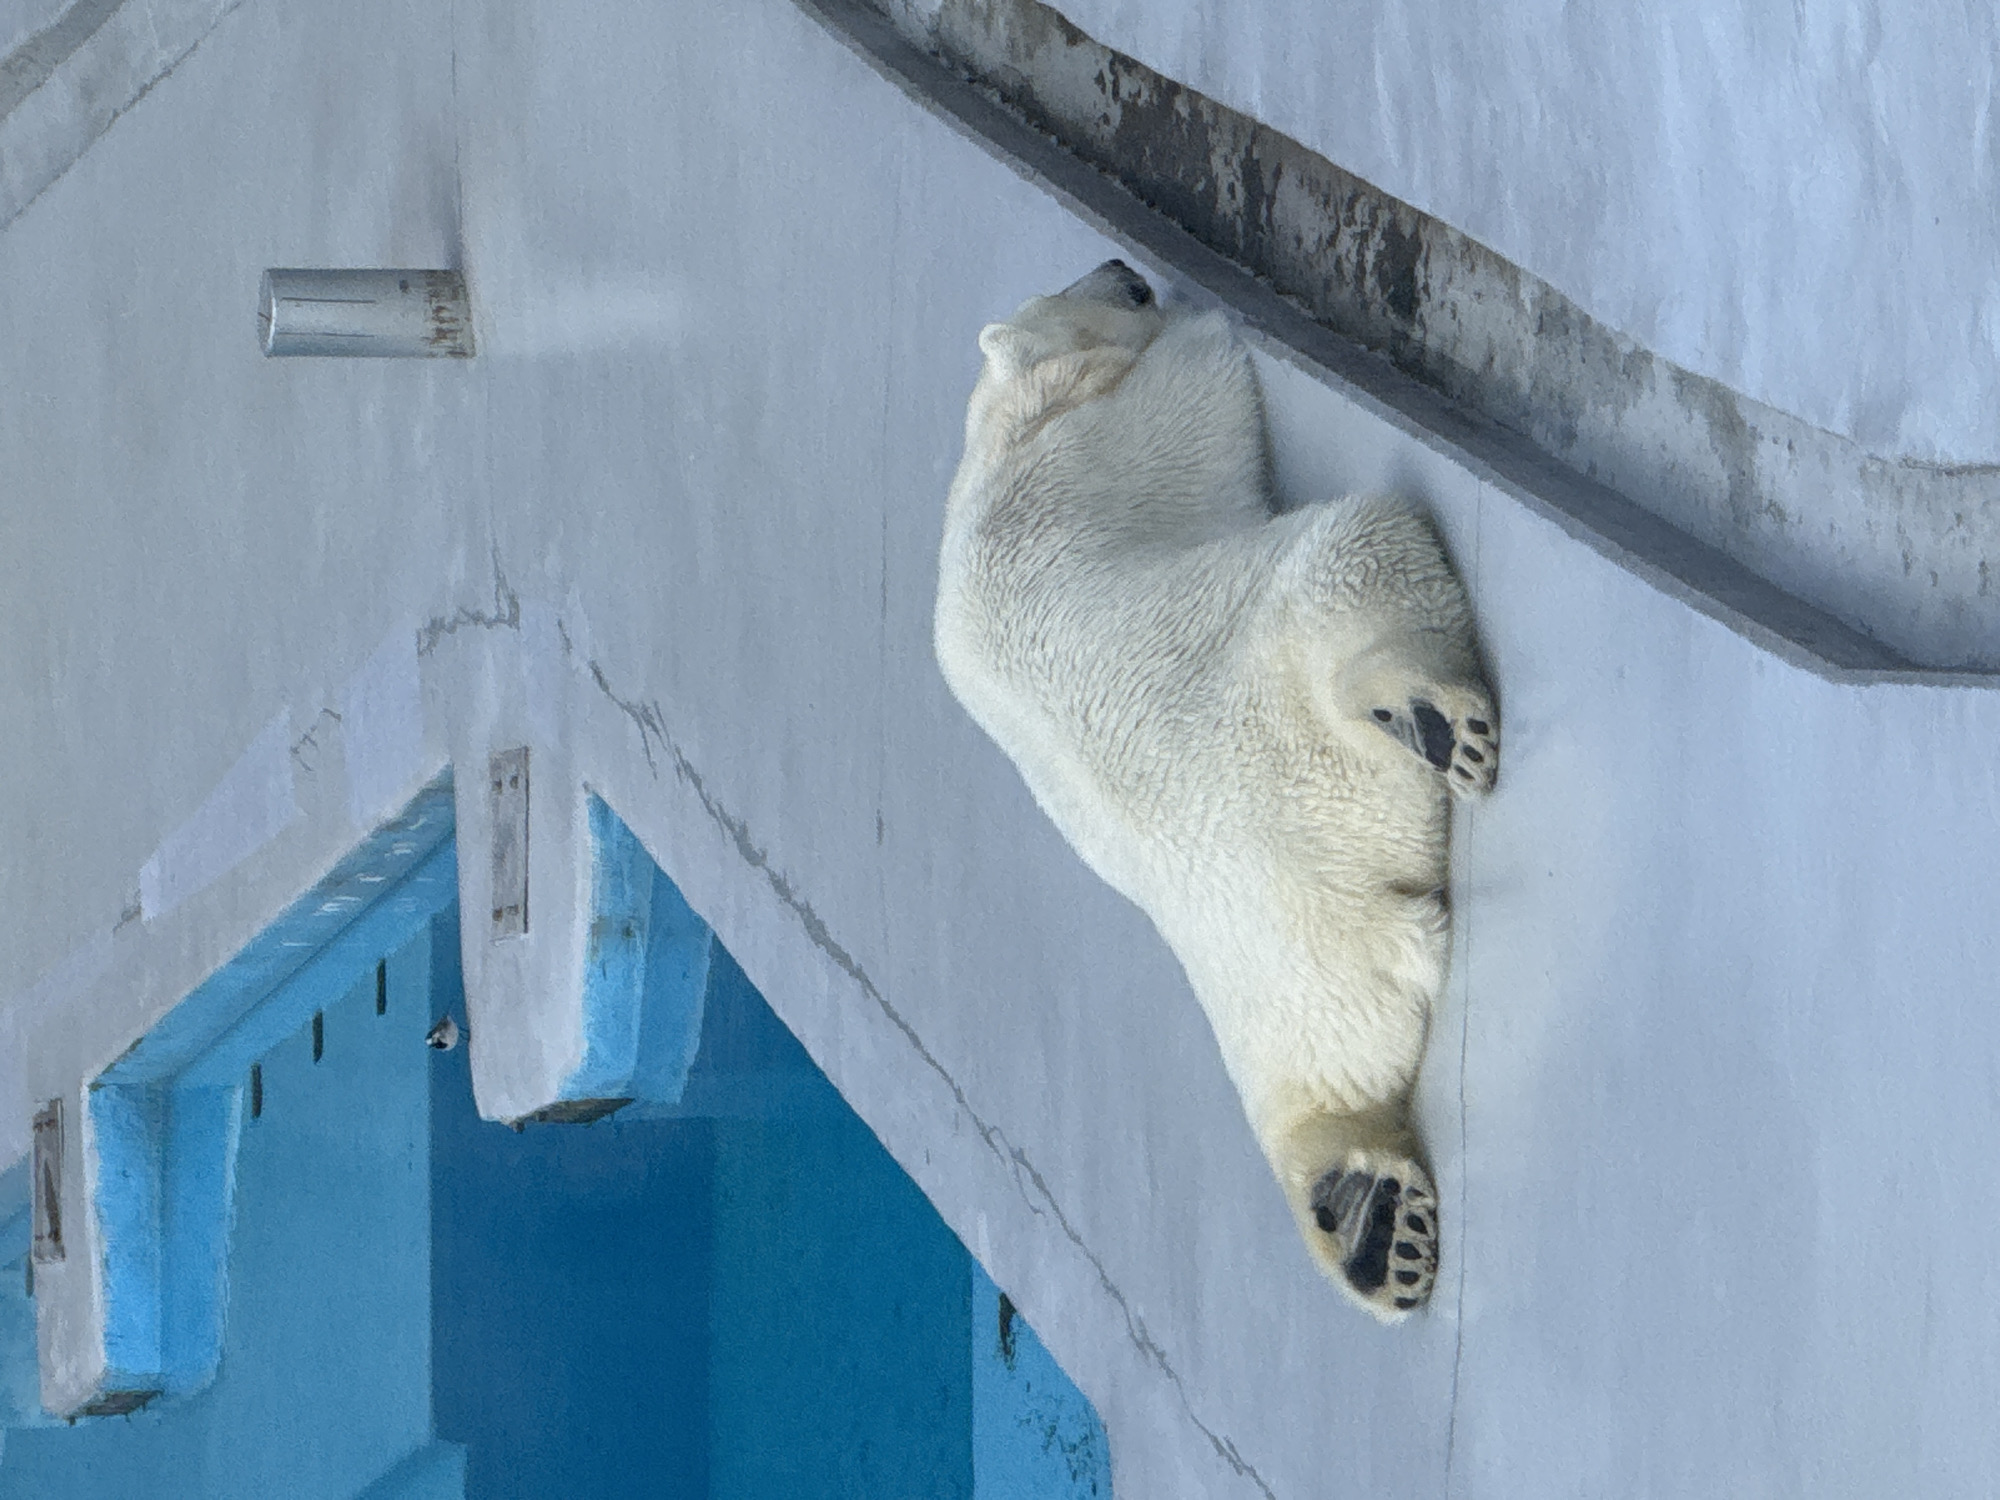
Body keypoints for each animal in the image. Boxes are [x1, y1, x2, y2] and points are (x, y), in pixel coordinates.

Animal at [933, 260, 1498, 1321]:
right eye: (1096, 291)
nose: (1127, 270)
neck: (1006, 430)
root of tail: (1368, 914)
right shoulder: (1121, 427)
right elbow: (1213, 376)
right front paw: (1209, 315)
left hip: (1274, 986)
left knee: (1319, 1082)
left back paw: (1366, 1222)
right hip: (1295, 673)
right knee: (1365, 547)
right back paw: (1427, 712)